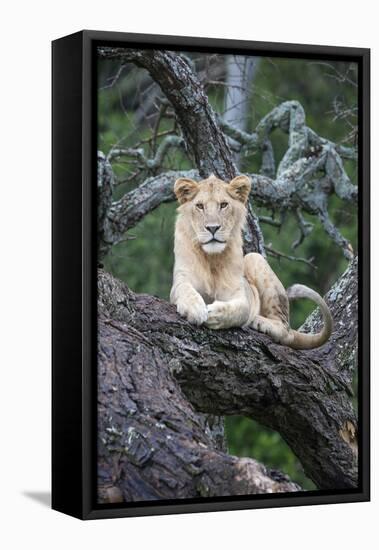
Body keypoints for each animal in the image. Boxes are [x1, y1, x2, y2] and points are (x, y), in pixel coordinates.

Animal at [169, 175, 332, 352]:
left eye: (223, 205)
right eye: (199, 206)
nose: (212, 228)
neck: (212, 258)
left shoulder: (239, 291)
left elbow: (242, 309)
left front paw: (215, 313)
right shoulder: (182, 278)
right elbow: (184, 289)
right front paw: (195, 308)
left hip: (254, 257)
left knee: (286, 331)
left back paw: (259, 322)